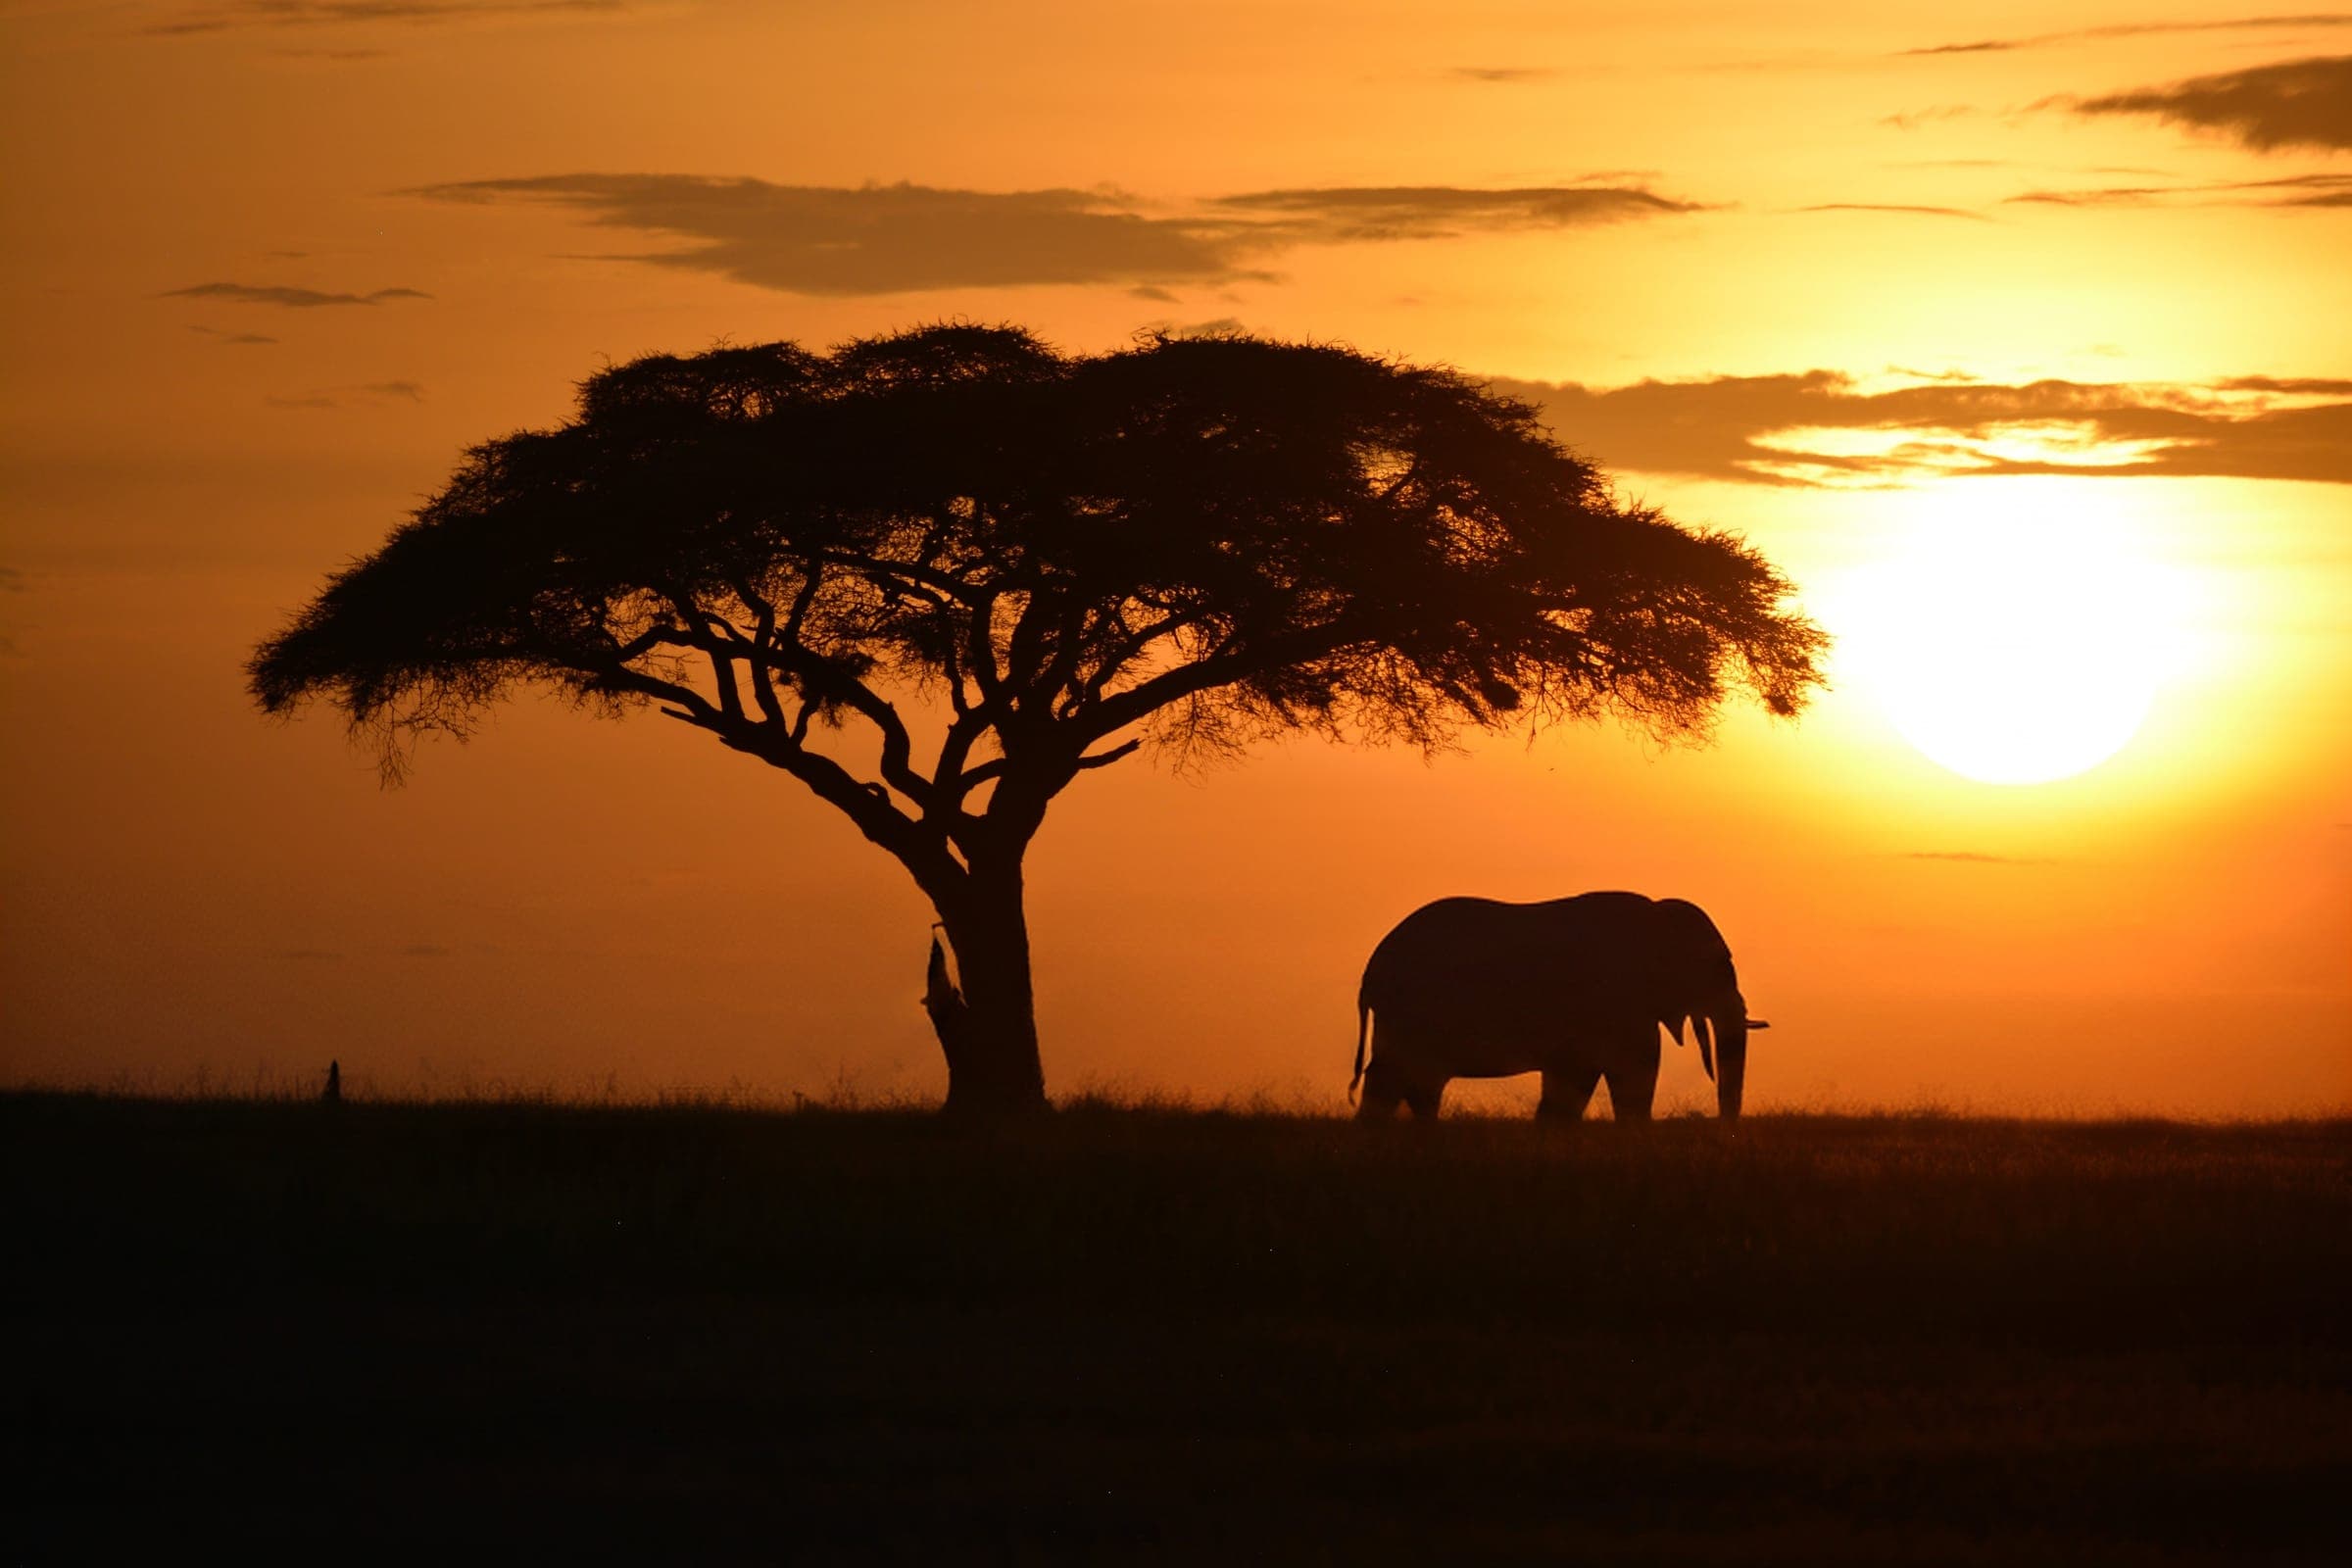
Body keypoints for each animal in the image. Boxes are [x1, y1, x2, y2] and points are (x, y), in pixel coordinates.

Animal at [1351, 892, 1767, 1121]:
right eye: (1719, 965)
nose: (1722, 1128)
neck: (1656, 913)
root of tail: (1370, 972)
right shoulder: (1617, 1000)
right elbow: (1634, 1067)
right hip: (1412, 1012)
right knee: (1395, 1075)